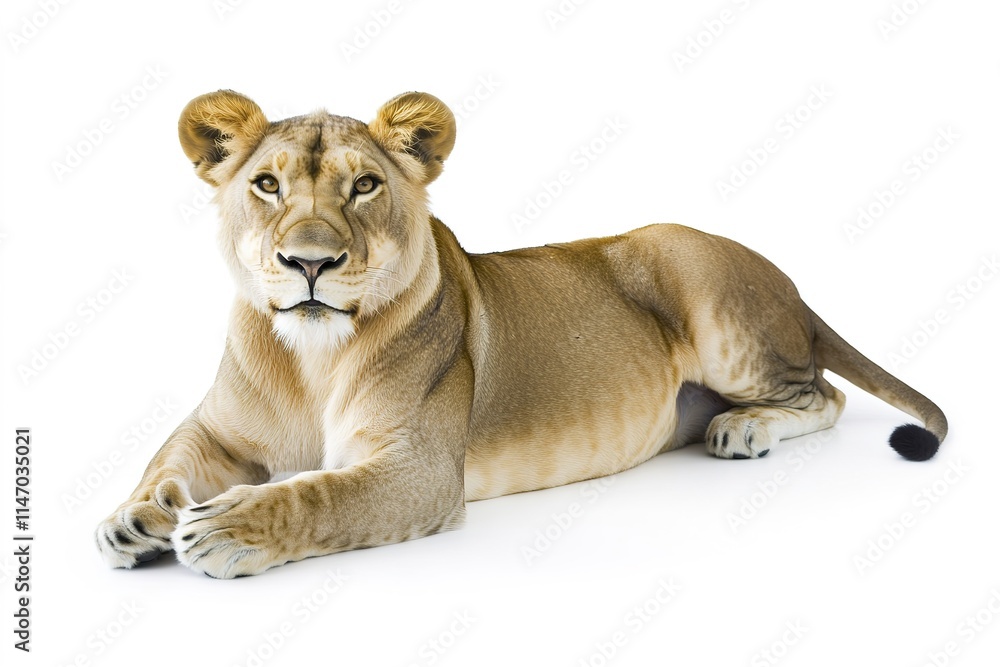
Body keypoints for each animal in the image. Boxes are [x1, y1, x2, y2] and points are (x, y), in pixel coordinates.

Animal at [95, 90, 947, 578]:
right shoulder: (213, 426)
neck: (308, 355)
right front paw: (135, 517)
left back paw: (745, 429)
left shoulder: (421, 467)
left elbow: (319, 494)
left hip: (709, 297)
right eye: (266, 185)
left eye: (364, 185)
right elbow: (166, 458)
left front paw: (225, 525)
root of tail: (789, 284)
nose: (310, 261)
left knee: (825, 392)